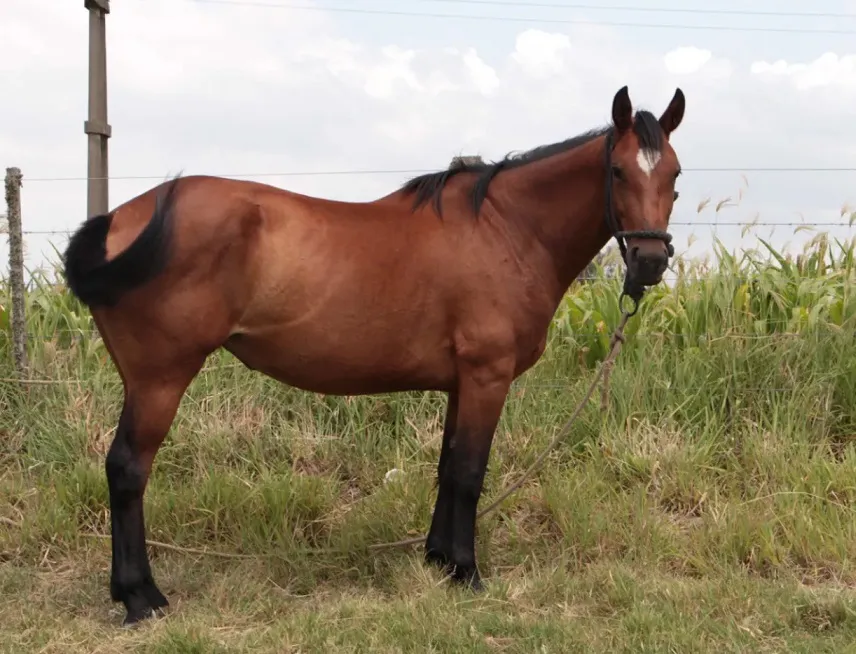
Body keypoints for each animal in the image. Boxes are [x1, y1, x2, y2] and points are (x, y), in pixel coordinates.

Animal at [62, 85, 685, 626]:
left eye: (675, 175)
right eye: (617, 171)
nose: (651, 261)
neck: (506, 229)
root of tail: (123, 219)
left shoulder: (460, 382)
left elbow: (447, 467)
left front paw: (439, 560)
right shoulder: (487, 376)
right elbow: (469, 473)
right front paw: (467, 572)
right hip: (159, 378)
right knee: (127, 470)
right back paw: (141, 597)